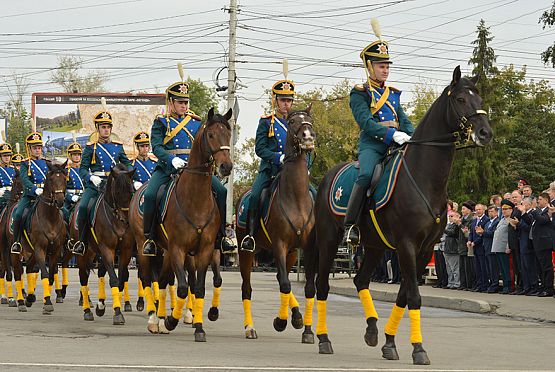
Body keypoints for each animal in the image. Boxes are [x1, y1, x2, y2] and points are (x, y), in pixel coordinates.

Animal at [8, 160, 67, 314]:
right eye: (51, 180)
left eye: (65, 179)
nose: (59, 201)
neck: (50, 218)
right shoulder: (40, 249)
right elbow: (44, 274)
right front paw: (47, 303)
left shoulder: (55, 251)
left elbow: (50, 275)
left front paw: (46, 299)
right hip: (15, 252)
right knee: (18, 272)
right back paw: (21, 302)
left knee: (29, 268)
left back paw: (29, 298)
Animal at [69, 162, 136, 322]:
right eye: (117, 192)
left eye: (131, 190)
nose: (126, 220)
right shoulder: (107, 249)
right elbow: (114, 280)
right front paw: (117, 313)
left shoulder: (126, 251)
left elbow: (121, 279)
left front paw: (107, 307)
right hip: (83, 253)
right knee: (83, 276)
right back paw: (87, 310)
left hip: (94, 252)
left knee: (99, 272)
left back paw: (100, 305)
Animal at [129, 107, 233, 340]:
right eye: (211, 135)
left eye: (228, 134)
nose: (226, 166)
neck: (196, 199)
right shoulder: (178, 248)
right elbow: (184, 288)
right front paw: (170, 320)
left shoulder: (205, 250)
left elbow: (199, 287)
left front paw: (199, 326)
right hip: (144, 248)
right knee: (148, 279)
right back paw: (153, 319)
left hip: (168, 252)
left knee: (164, 280)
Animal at [235, 107, 318, 340]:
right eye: (292, 122)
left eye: (310, 120)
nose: (308, 137)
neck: (295, 196)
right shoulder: (280, 244)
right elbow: (286, 284)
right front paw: (281, 321)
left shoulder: (303, 248)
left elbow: (305, 287)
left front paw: (306, 328)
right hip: (247, 253)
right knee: (248, 288)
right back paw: (249, 328)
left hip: (288, 253)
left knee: (281, 277)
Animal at [308, 67, 496, 364]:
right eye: (461, 99)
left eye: (479, 97)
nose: (485, 133)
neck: (423, 177)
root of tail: (328, 177)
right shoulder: (407, 245)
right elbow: (415, 297)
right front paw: (418, 349)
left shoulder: (425, 249)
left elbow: (404, 295)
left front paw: (389, 342)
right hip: (328, 240)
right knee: (322, 285)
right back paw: (324, 339)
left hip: (374, 245)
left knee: (361, 280)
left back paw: (372, 329)